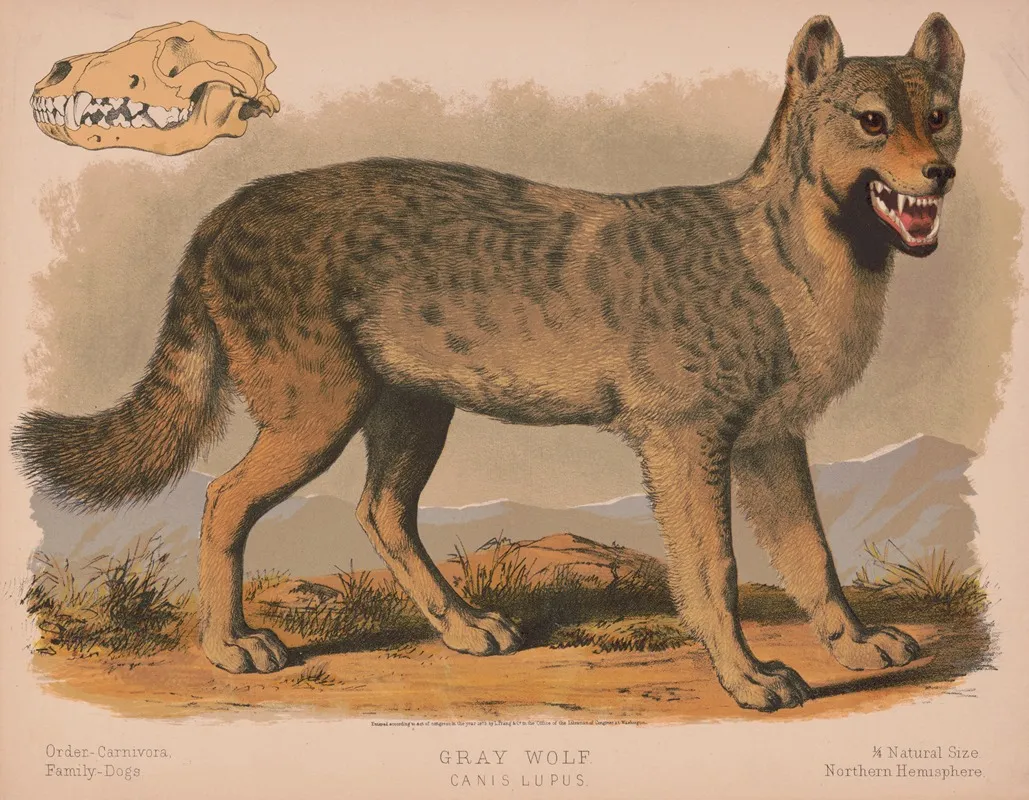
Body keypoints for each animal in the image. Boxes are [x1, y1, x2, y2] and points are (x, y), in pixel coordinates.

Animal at [13, 13, 963, 711]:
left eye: (939, 115)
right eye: (871, 121)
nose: (942, 174)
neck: (791, 255)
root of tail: (229, 205)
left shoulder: (769, 440)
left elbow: (811, 555)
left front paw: (853, 643)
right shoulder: (685, 440)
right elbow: (714, 571)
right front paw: (749, 678)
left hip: (411, 411)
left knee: (380, 512)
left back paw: (466, 628)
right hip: (318, 415)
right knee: (222, 500)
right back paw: (230, 647)